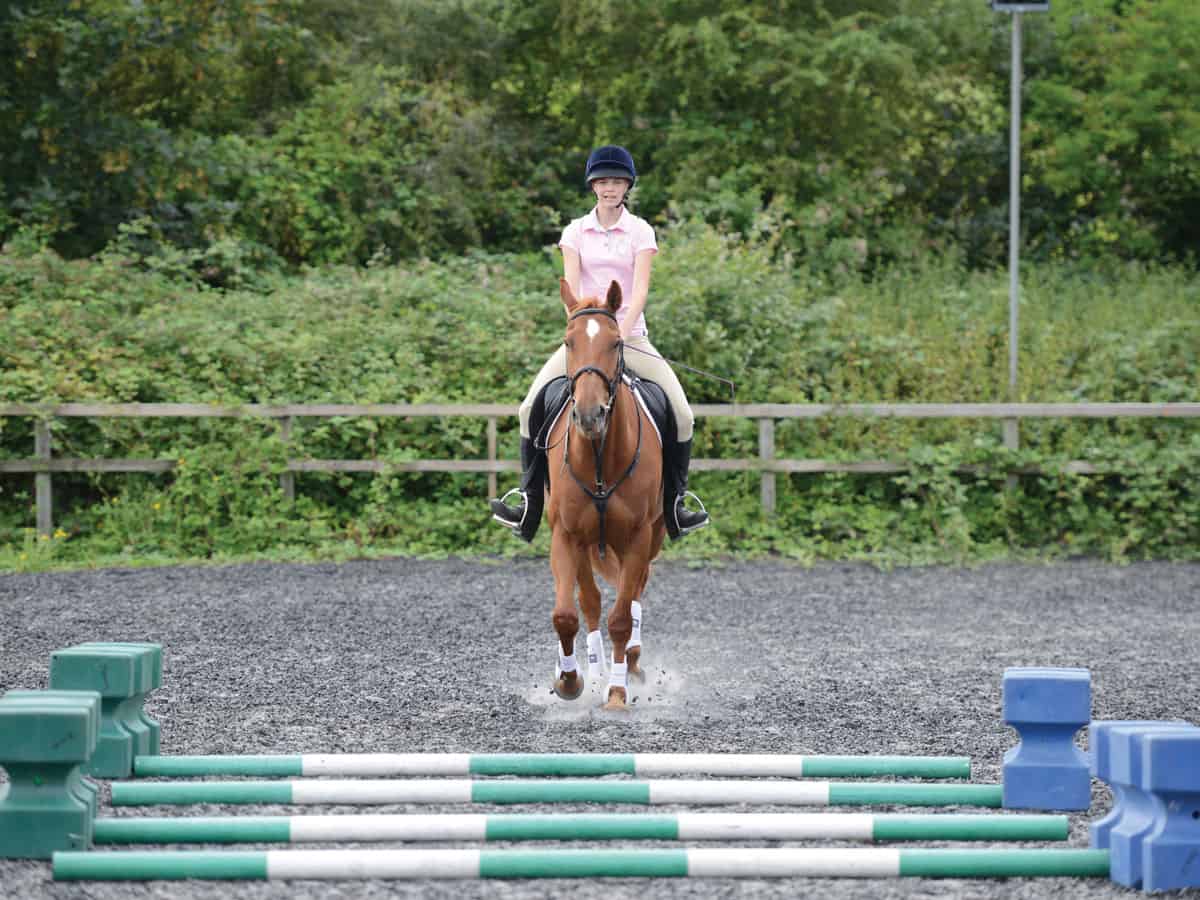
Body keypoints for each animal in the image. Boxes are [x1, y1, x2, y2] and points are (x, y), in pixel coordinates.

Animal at [544, 277, 667, 710]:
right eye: (568, 342)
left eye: (616, 343)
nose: (589, 415)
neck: (598, 457)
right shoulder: (565, 535)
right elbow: (567, 614)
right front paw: (569, 681)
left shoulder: (638, 538)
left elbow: (622, 617)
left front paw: (616, 691)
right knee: (590, 601)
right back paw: (593, 668)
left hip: (653, 536)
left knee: (634, 595)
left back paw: (629, 662)